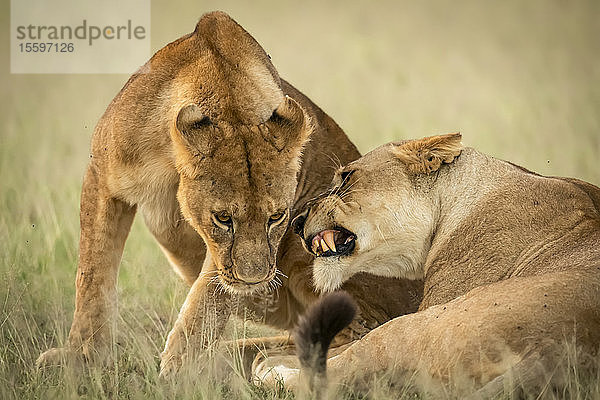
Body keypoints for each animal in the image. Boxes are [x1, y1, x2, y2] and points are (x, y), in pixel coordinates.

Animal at [37, 10, 422, 376]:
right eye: (223, 219)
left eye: (277, 217)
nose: (255, 282)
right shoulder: (103, 179)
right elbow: (93, 275)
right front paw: (81, 357)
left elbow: (210, 295)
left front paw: (179, 366)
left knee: (357, 331)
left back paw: (245, 360)